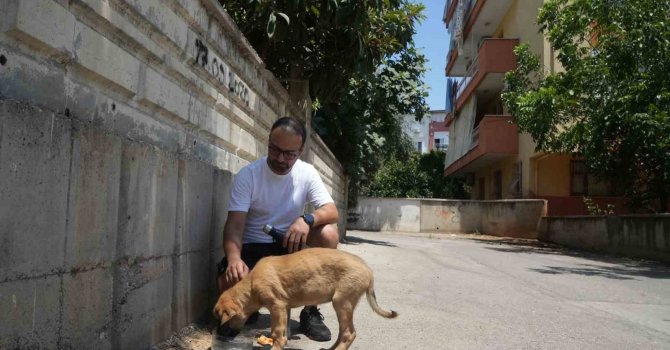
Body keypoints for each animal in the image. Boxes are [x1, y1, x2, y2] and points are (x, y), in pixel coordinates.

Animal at [214, 247, 400, 348]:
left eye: (224, 321)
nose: (221, 335)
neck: (252, 284)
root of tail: (368, 269)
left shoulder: (277, 306)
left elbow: (277, 334)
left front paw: (277, 345)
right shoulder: (285, 307)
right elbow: (283, 332)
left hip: (342, 302)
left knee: (349, 333)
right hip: (342, 306)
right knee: (343, 331)